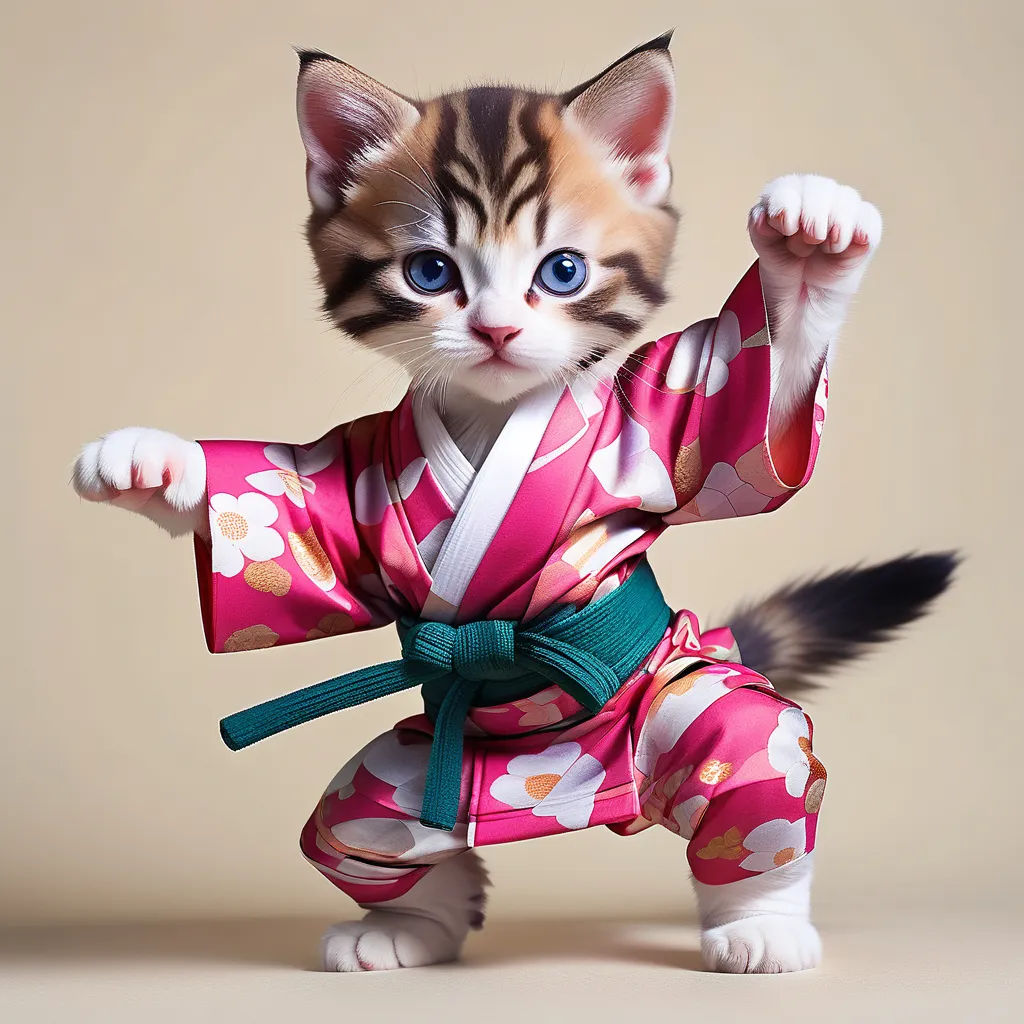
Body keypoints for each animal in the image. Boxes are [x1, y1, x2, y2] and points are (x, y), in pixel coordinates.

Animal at [72, 36, 950, 970]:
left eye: (561, 272)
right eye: (431, 272)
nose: (495, 329)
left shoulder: (678, 415)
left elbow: (762, 390)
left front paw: (809, 251)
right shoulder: (355, 473)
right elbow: (299, 503)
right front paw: (159, 467)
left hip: (678, 699)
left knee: (751, 758)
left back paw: (760, 922)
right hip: (409, 780)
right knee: (356, 831)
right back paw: (413, 923)